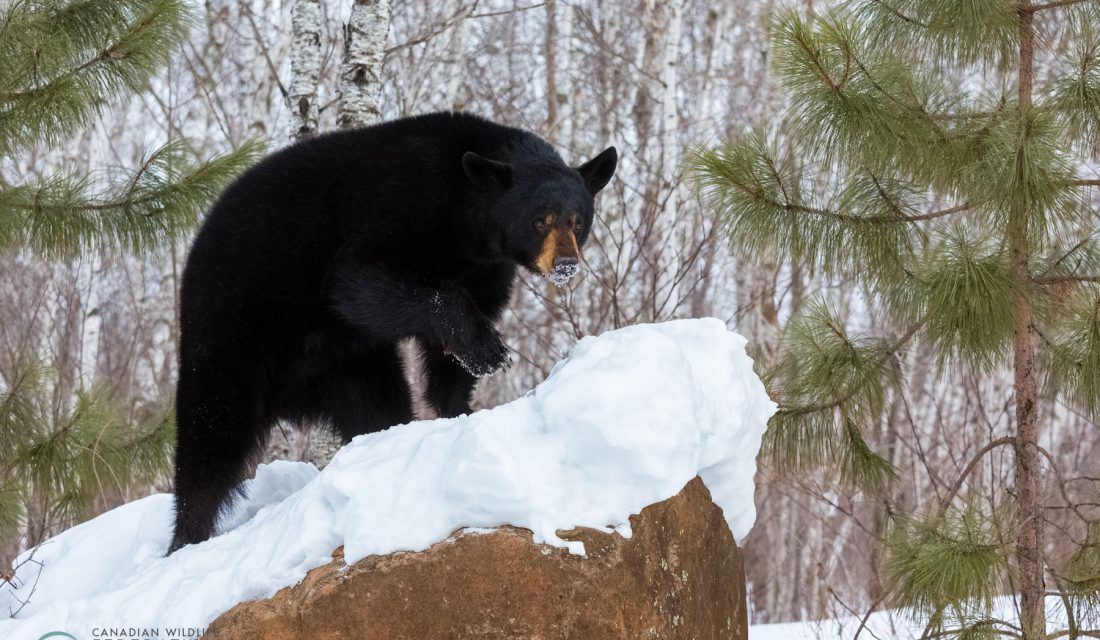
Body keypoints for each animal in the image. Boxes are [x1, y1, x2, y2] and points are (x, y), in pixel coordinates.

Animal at [169, 110, 620, 552]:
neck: (466, 218)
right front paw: (489, 350)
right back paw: (187, 536)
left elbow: (448, 349)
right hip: (233, 325)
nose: (565, 265)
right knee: (212, 429)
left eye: (577, 221)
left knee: (375, 404)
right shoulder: (397, 211)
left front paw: (459, 403)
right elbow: (361, 283)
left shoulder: (486, 268)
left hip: (347, 364)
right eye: (539, 220)